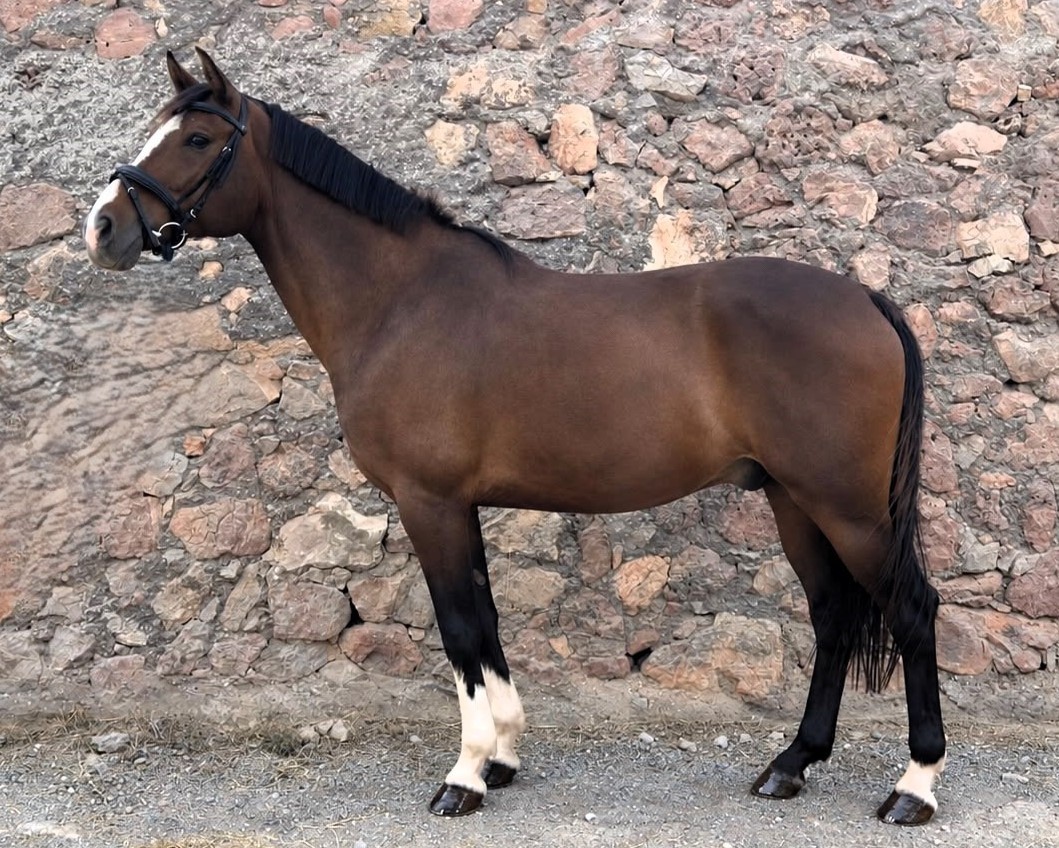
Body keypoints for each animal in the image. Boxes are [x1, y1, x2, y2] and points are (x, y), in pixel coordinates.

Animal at [85, 50, 947, 825]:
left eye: (197, 138)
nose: (102, 229)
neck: (400, 302)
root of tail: (864, 299)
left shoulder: (428, 501)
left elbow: (460, 628)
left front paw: (464, 775)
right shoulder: (457, 506)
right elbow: (487, 624)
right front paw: (501, 756)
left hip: (847, 509)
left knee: (911, 608)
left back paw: (912, 788)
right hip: (793, 501)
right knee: (832, 617)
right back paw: (789, 765)